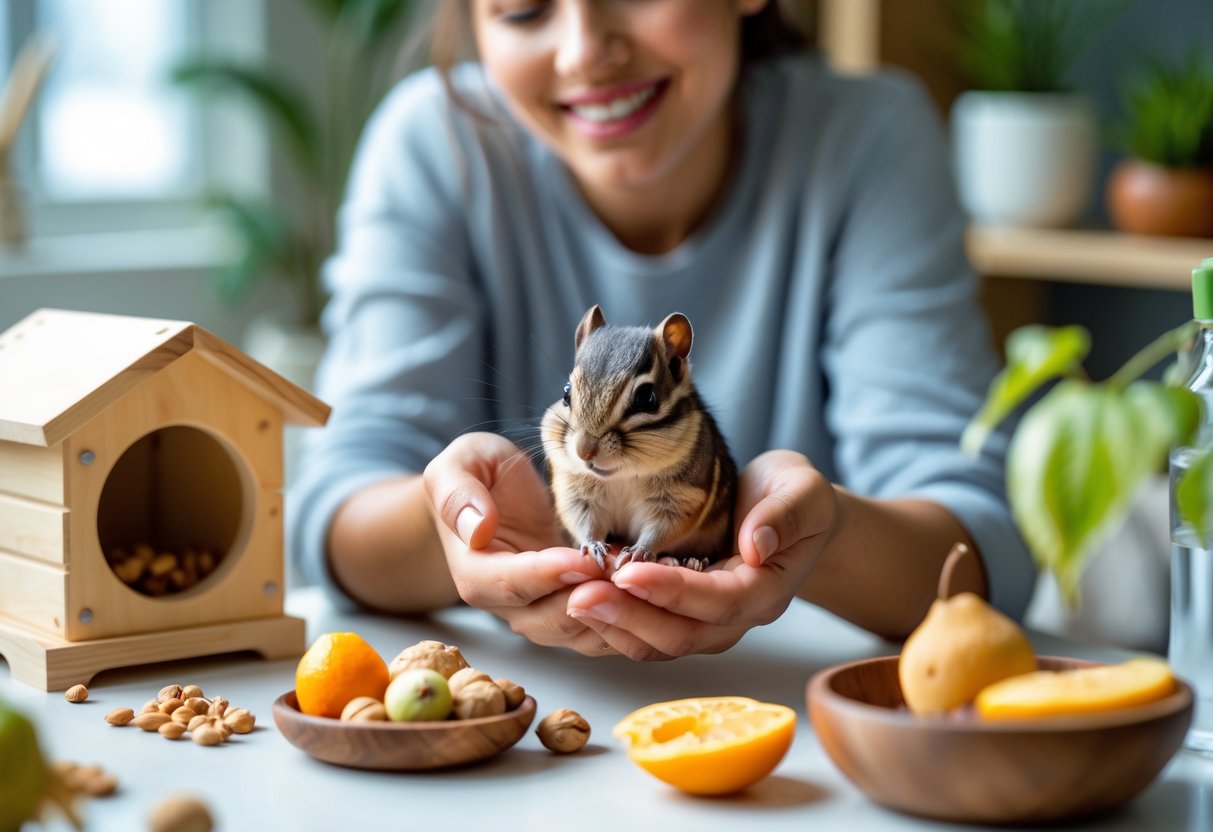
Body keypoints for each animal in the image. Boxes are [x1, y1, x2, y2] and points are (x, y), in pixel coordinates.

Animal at [540, 305, 738, 571]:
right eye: (566, 393)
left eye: (646, 397)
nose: (584, 451)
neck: (623, 475)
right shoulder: (576, 492)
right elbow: (583, 520)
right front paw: (592, 545)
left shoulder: (681, 499)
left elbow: (662, 530)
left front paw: (639, 551)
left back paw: (693, 562)